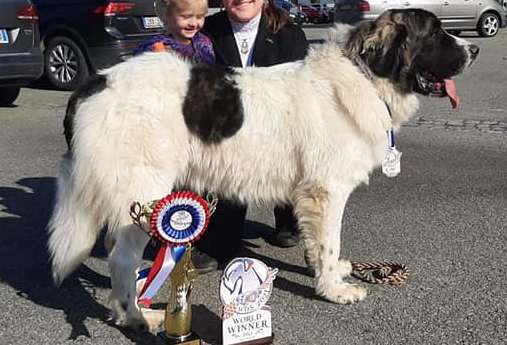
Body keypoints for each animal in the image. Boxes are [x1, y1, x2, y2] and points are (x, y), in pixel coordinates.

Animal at [48, 8, 480, 330]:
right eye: (435, 33)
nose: (474, 48)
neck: (365, 76)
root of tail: (94, 83)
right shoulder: (326, 190)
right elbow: (330, 240)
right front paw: (334, 290)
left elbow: (320, 244)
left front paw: (329, 272)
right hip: (144, 194)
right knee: (122, 258)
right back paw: (139, 317)